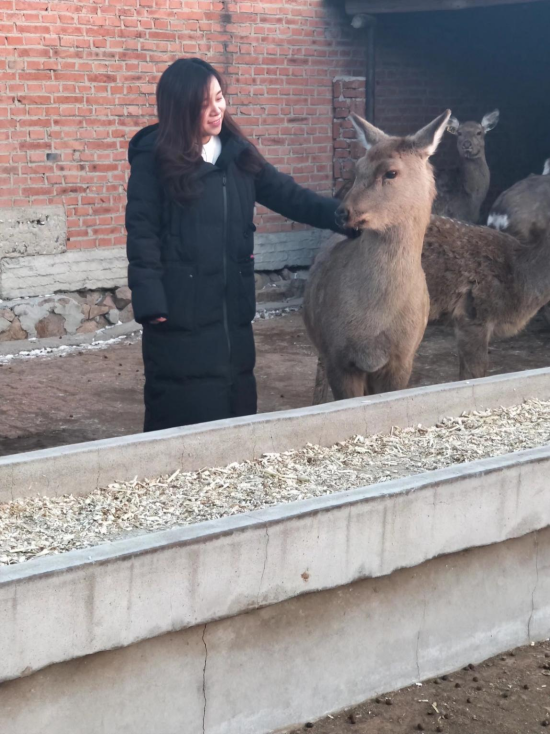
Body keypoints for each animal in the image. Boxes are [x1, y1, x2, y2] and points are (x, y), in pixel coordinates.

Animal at [303, 110, 451, 401]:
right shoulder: (338, 355)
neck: (374, 319)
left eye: (391, 172)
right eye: (358, 168)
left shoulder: (402, 358)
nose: (342, 212)